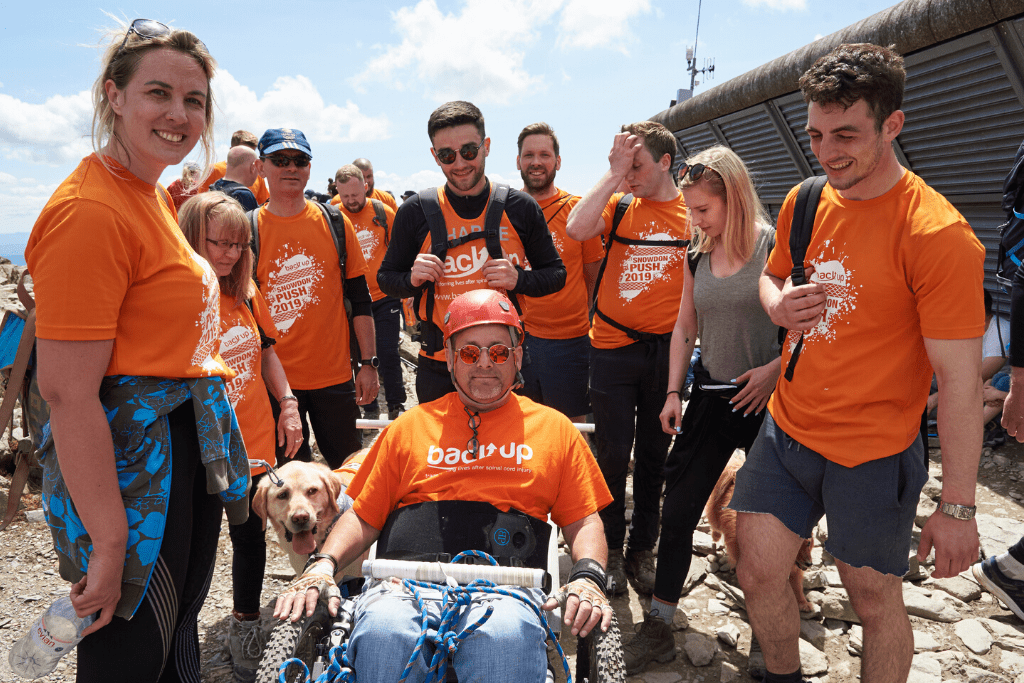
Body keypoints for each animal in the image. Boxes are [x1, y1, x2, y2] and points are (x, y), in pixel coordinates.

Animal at [708, 450, 811, 610]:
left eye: (808, 544)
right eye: (794, 548)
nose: (809, 564)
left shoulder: (796, 571)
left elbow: (797, 586)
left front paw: (803, 602)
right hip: (716, 517)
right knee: (715, 526)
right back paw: (715, 536)